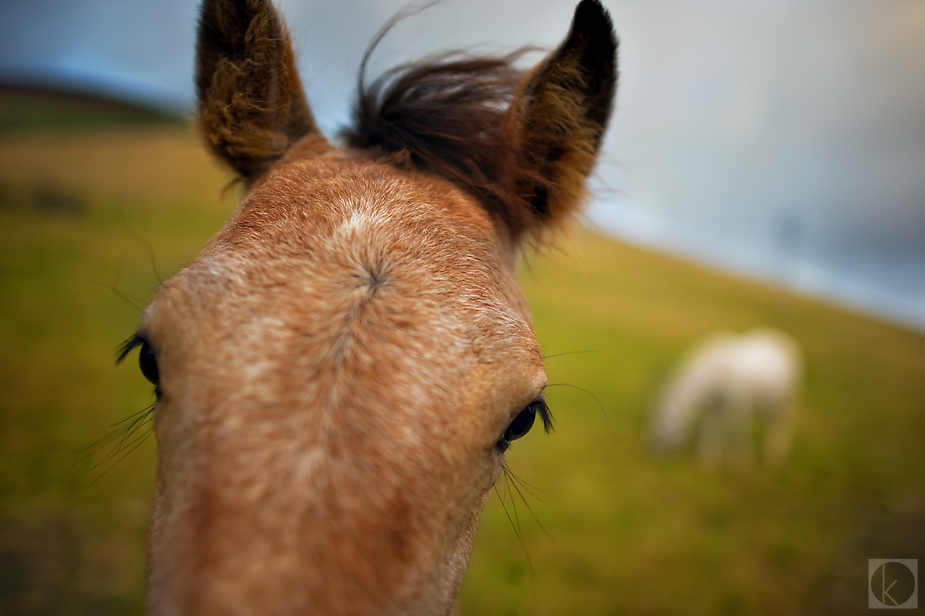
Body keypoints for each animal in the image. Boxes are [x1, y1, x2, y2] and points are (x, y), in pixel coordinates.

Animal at [648, 328, 800, 466]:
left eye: (662, 423)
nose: (655, 448)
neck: (718, 374)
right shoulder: (714, 404)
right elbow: (712, 424)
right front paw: (710, 454)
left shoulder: (738, 404)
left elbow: (738, 426)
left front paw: (741, 457)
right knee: (770, 420)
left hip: (781, 401)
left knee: (779, 422)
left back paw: (775, 451)